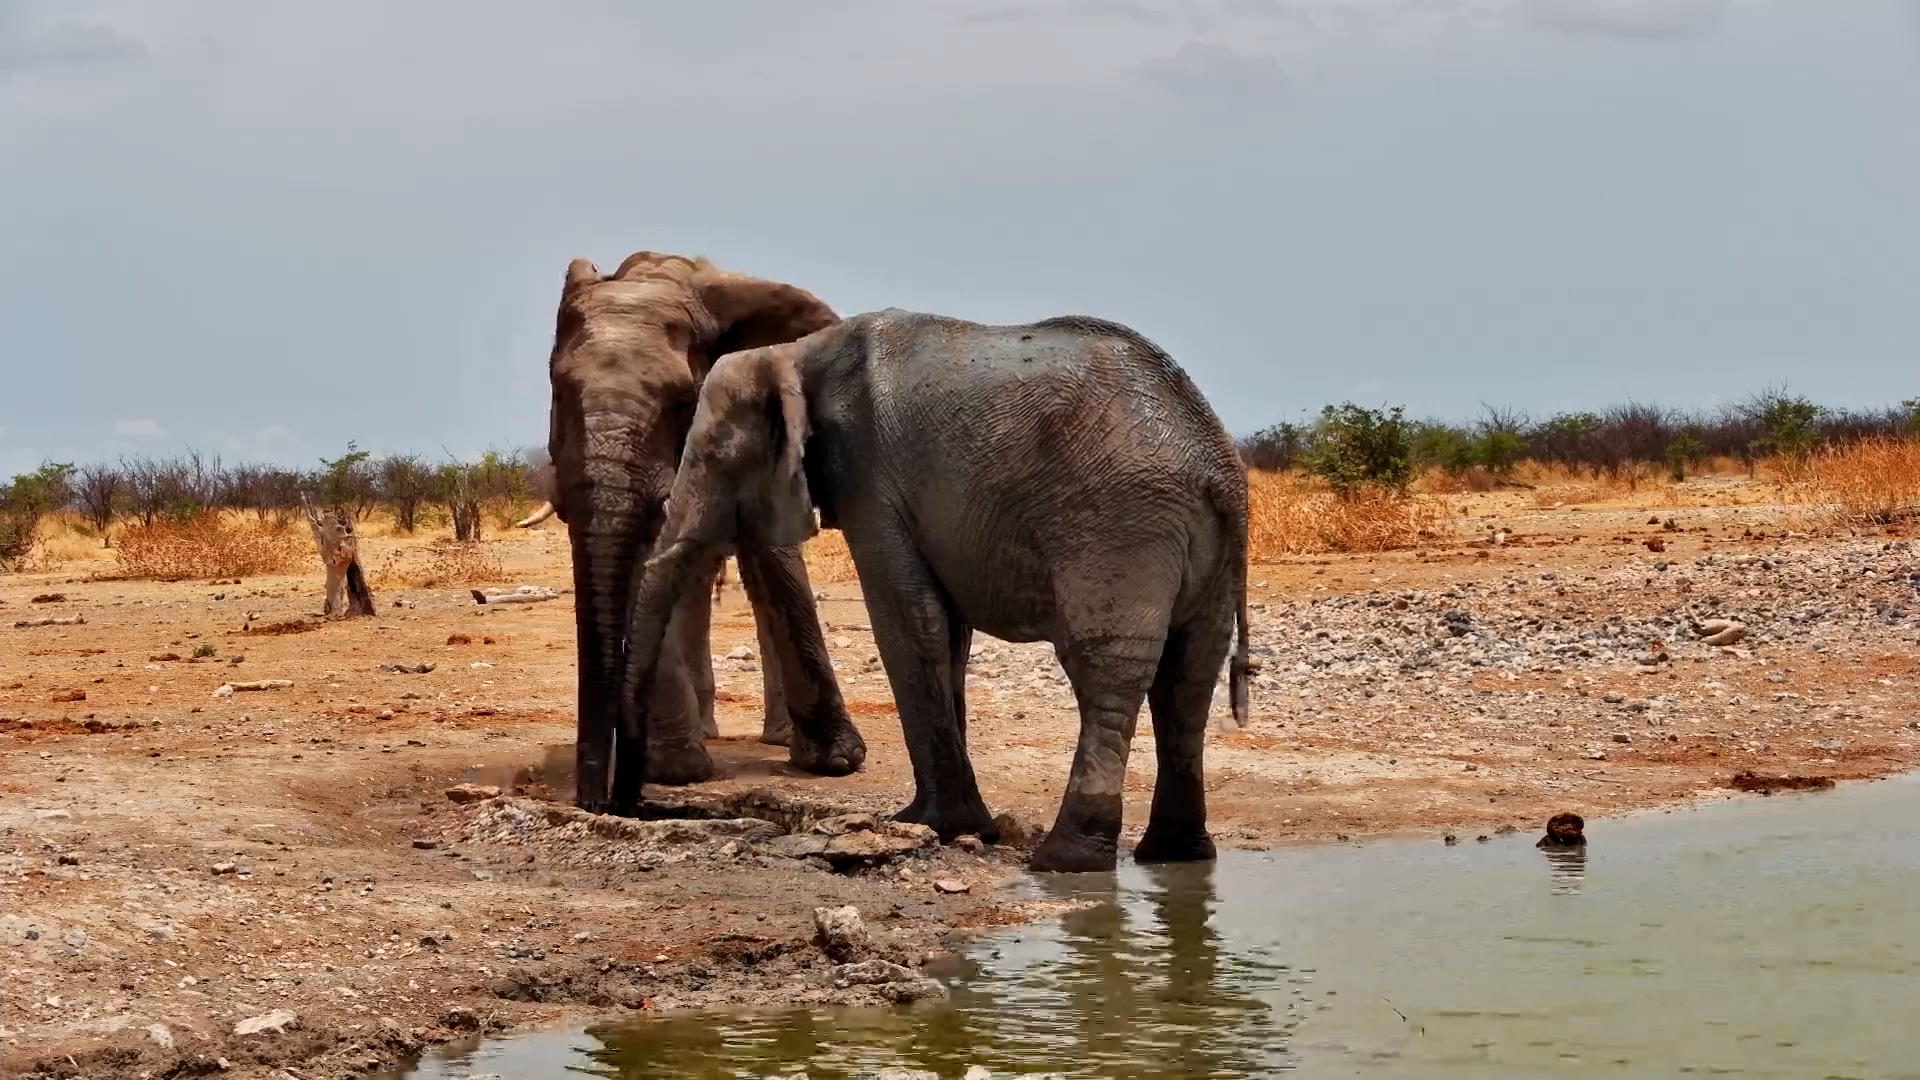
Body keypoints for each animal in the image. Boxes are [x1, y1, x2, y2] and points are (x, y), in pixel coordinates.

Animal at [542, 251, 867, 814]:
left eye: (680, 401)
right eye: (558, 391)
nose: (597, 802)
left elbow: (774, 563)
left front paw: (837, 763)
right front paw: (676, 771)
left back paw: (776, 739)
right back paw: (706, 734)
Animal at [620, 308, 1252, 873]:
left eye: (711, 454)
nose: (627, 802)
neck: (795, 355)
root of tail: (1218, 462)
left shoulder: (872, 481)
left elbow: (907, 617)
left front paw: (929, 825)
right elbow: (947, 632)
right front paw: (966, 827)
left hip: (1117, 528)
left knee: (1105, 672)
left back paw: (1065, 860)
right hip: (1201, 550)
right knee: (1187, 677)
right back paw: (1174, 855)